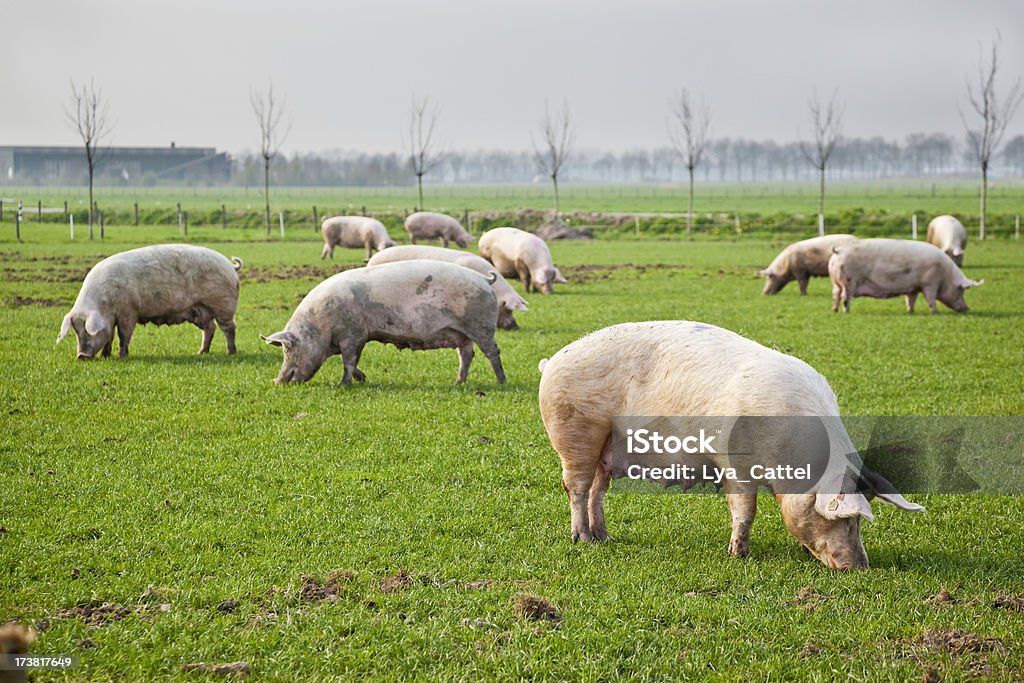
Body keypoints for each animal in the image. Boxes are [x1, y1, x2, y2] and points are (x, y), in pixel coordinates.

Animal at [57, 244, 239, 360]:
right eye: (76, 331)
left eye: (87, 330)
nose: (81, 356)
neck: (104, 304)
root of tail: (231, 266)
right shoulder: (112, 318)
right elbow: (110, 336)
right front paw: (106, 356)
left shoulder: (128, 312)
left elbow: (124, 334)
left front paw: (122, 356)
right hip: (199, 311)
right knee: (210, 328)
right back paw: (200, 352)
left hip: (223, 306)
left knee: (229, 328)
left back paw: (230, 353)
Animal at [262, 262, 505, 387]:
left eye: (287, 349)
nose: (277, 380)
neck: (320, 324)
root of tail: (485, 280)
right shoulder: (359, 336)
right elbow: (353, 360)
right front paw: (362, 379)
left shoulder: (352, 334)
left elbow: (348, 360)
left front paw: (344, 384)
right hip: (462, 333)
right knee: (466, 354)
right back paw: (458, 382)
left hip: (481, 326)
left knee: (492, 352)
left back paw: (501, 382)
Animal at [540, 323, 925, 569]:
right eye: (847, 519)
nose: (859, 567)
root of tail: (552, 361)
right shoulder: (733, 462)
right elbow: (744, 511)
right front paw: (738, 555)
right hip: (574, 431)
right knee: (575, 487)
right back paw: (582, 539)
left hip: (605, 447)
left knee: (597, 489)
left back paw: (603, 537)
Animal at [823, 239, 983, 313]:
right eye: (961, 290)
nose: (967, 309)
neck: (946, 275)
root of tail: (838, 251)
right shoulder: (930, 283)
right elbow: (930, 298)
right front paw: (936, 312)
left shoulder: (913, 287)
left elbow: (910, 299)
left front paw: (910, 311)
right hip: (848, 281)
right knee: (845, 297)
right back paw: (846, 311)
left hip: (835, 282)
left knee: (835, 295)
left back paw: (834, 310)